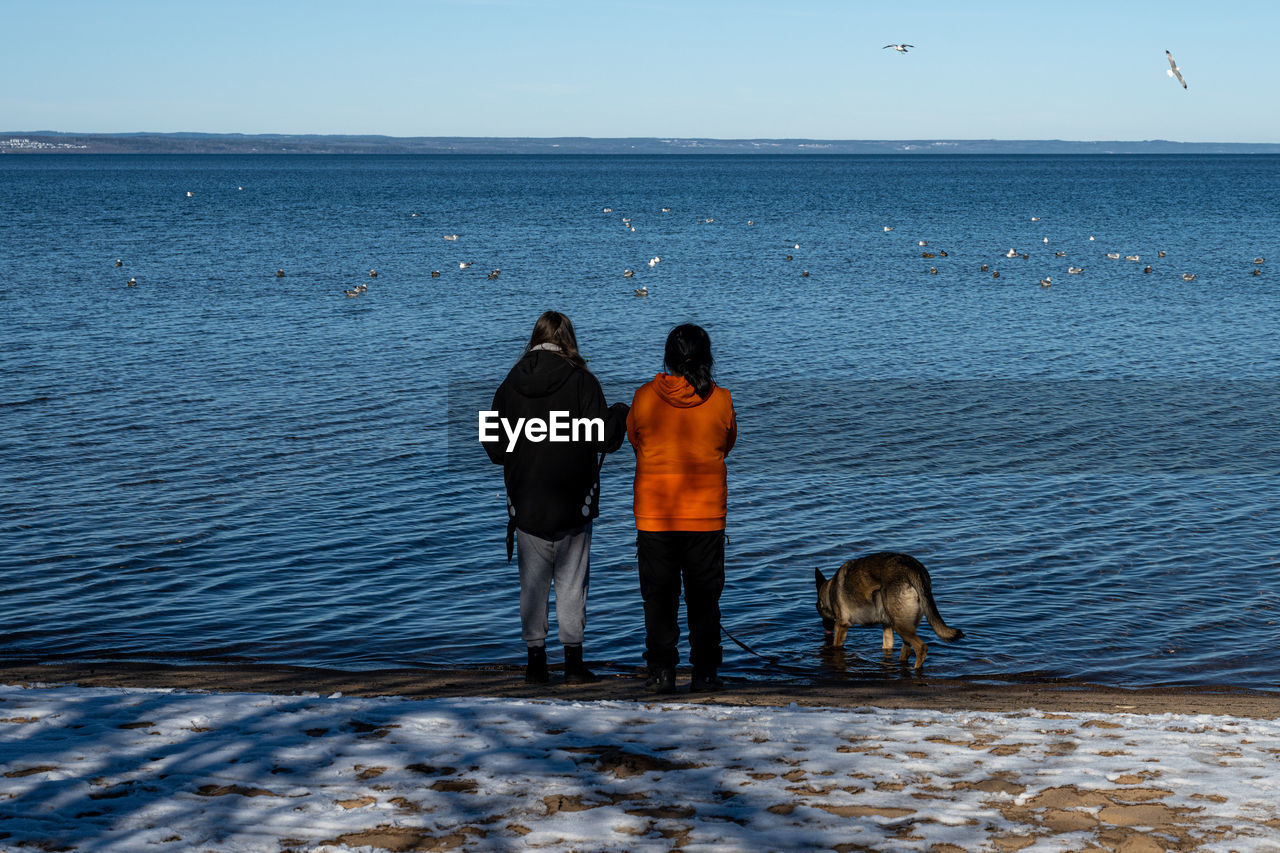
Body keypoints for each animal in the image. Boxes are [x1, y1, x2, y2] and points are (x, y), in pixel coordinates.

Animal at [814, 555, 962, 666]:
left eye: (819, 611)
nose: (825, 627)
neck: (828, 592)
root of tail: (913, 567)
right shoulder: (887, 627)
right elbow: (887, 646)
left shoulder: (841, 626)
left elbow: (836, 646)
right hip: (904, 626)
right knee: (907, 650)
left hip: (901, 626)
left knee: (921, 648)